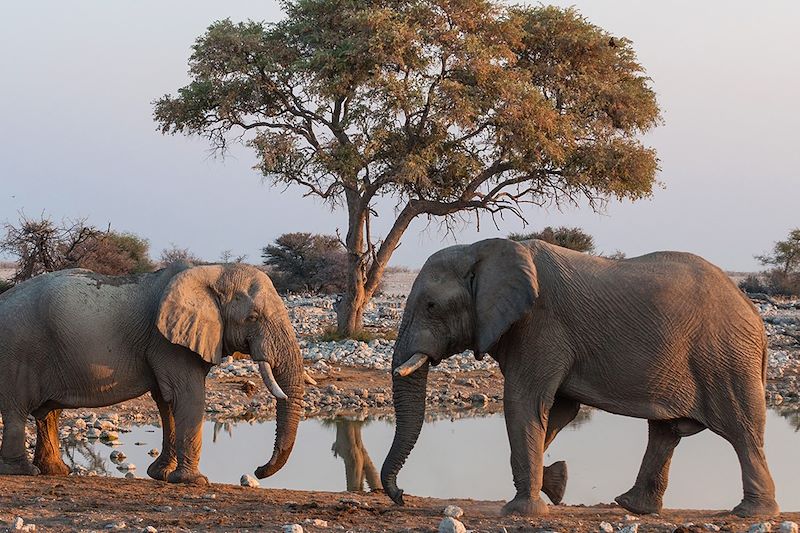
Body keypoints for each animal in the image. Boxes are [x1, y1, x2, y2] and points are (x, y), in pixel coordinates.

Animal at [0, 260, 306, 482]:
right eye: (252, 318)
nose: (257, 471)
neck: (213, 270)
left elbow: (166, 401)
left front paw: (162, 475)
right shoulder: (167, 343)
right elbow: (188, 396)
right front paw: (194, 481)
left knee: (48, 412)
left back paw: (56, 472)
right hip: (18, 349)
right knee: (17, 410)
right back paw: (23, 472)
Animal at [382, 237, 780, 516]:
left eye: (431, 306)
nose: (401, 497)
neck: (484, 248)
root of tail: (754, 314)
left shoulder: (541, 326)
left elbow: (524, 402)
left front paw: (522, 510)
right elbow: (559, 410)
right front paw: (555, 483)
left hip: (725, 358)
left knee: (742, 430)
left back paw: (750, 513)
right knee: (665, 433)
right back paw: (633, 506)